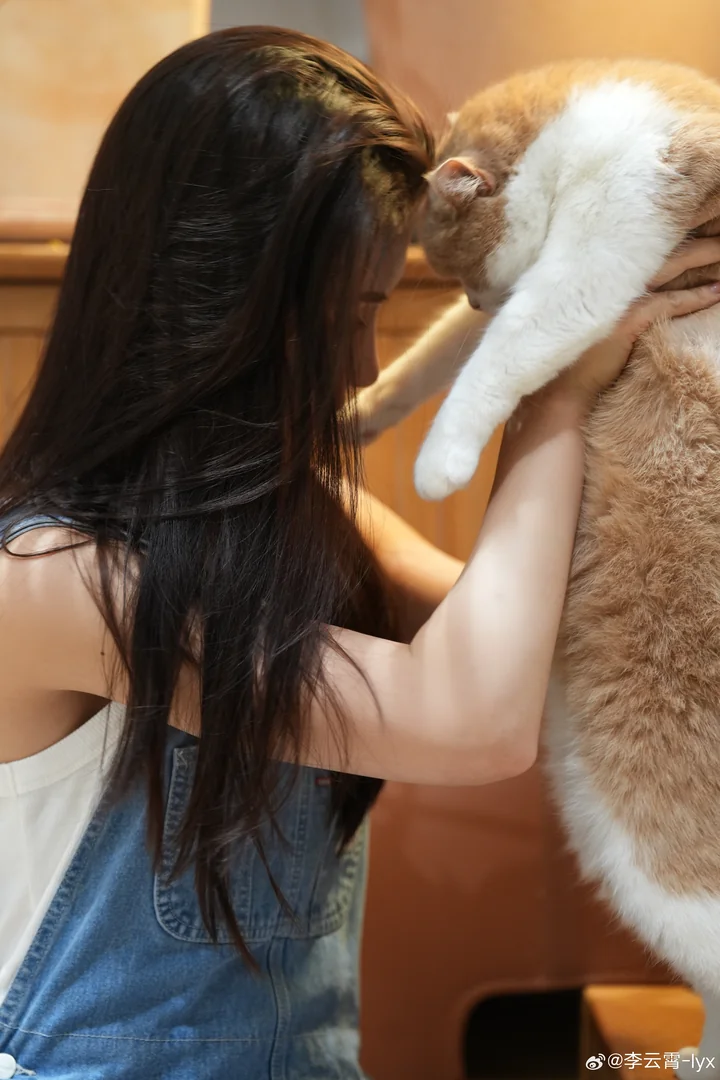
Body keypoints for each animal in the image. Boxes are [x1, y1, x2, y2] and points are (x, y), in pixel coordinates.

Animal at [356, 60, 720, 1076]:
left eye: (455, 263)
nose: (477, 298)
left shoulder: (611, 236)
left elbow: (515, 344)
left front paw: (440, 462)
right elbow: (438, 357)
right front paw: (362, 411)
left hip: (643, 823)